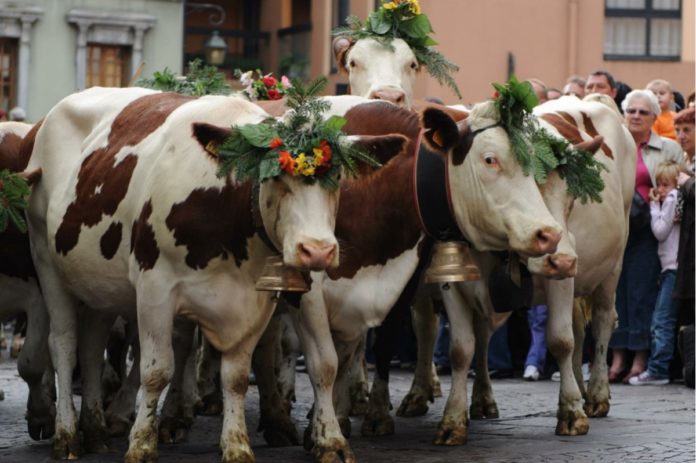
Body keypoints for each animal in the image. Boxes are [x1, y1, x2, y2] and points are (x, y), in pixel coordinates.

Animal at [23, 88, 396, 463]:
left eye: (338, 180)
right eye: (275, 176)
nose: (317, 249)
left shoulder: (259, 299)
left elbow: (245, 375)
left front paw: (239, 444)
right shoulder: (154, 287)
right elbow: (156, 370)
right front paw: (141, 445)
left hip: (99, 285)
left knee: (91, 347)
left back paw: (96, 430)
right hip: (45, 259)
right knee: (64, 345)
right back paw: (67, 435)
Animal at [430, 94, 636, 446]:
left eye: (572, 197)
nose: (562, 258)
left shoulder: (562, 278)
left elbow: (560, 340)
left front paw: (571, 413)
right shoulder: (453, 281)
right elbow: (461, 349)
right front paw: (452, 421)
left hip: (613, 265)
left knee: (603, 321)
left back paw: (595, 394)